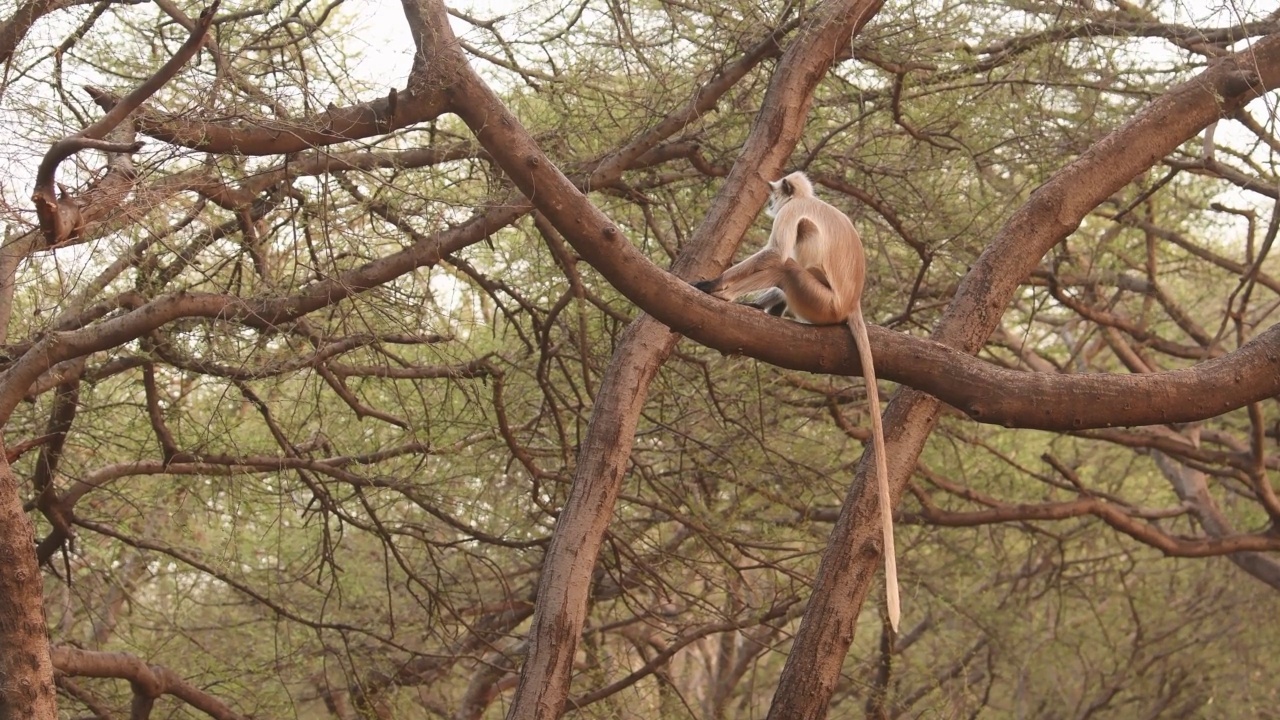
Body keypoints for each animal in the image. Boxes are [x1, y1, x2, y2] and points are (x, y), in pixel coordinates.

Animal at [691, 170, 901, 630]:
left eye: (775, 197)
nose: (769, 204)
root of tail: (851, 303)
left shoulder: (793, 214)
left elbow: (776, 252)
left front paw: (713, 285)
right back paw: (767, 309)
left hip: (818, 301)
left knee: (785, 263)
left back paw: (731, 297)